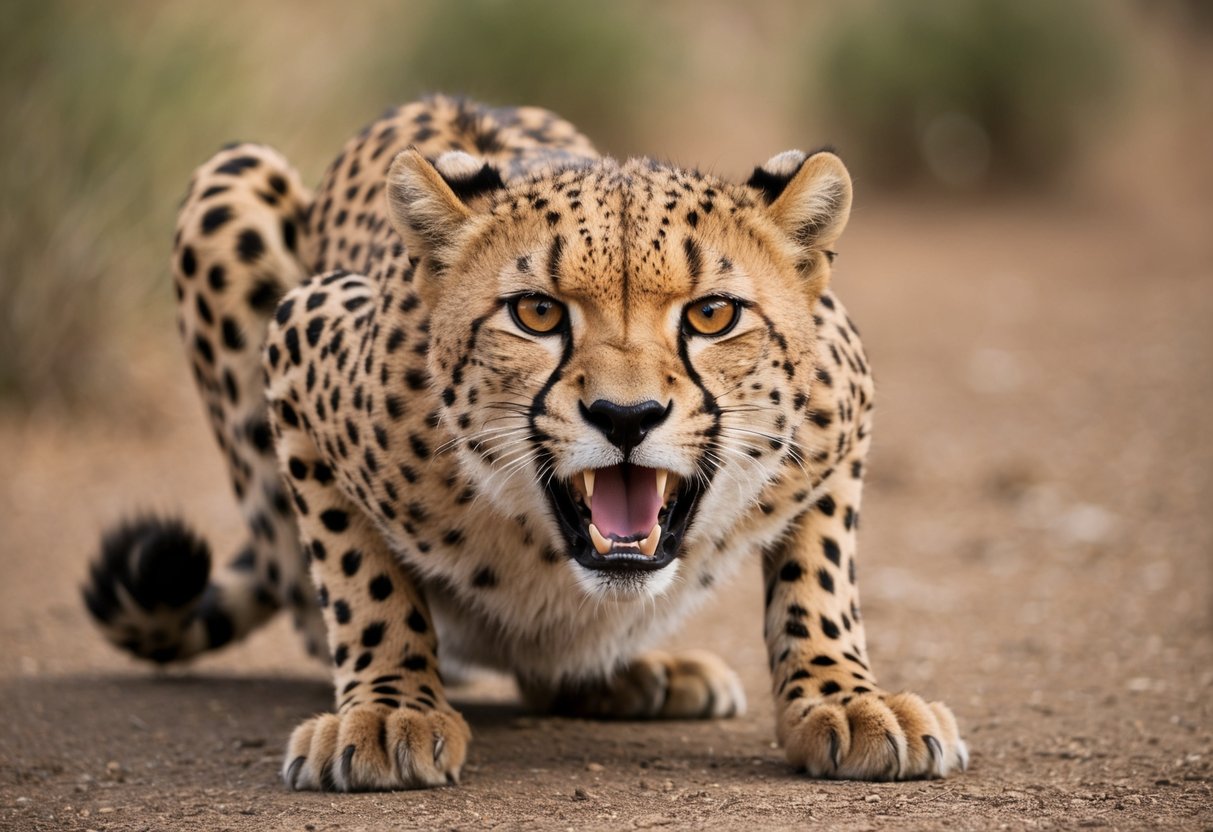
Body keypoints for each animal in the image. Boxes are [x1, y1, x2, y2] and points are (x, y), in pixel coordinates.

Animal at [84, 94, 968, 790]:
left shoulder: (843, 389)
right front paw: (388, 710)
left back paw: (638, 672)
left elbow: (819, 575)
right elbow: (359, 576)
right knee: (302, 584)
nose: (625, 416)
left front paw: (843, 698)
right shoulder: (302, 337)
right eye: (537, 313)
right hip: (232, 177)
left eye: (712, 315)